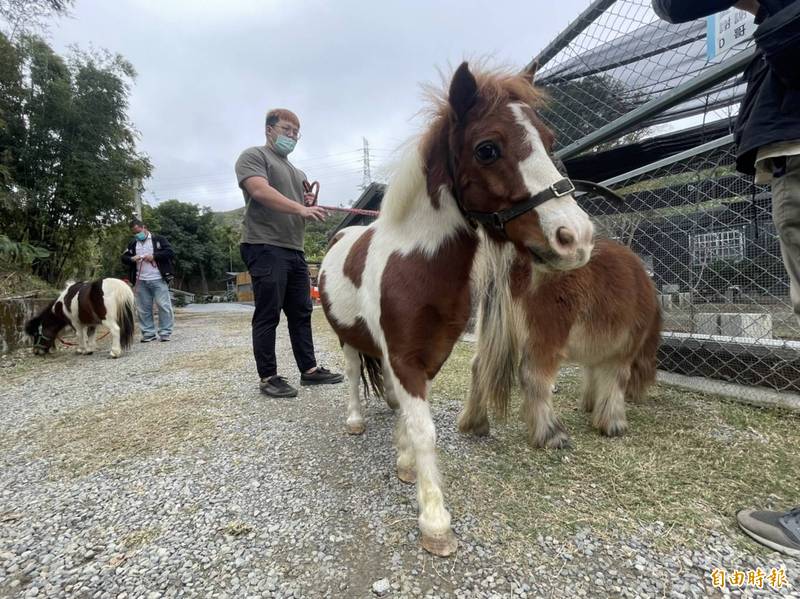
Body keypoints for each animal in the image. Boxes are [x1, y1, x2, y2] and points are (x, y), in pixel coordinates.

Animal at [322, 62, 596, 556]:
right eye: (487, 149)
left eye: (548, 140)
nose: (576, 237)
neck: (415, 263)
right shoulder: (406, 356)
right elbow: (425, 429)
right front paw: (435, 523)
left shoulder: (427, 355)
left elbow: (411, 419)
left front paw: (405, 463)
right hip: (345, 335)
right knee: (352, 373)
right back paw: (354, 420)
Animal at [460, 237, 660, 448]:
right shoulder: (621, 352)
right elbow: (615, 382)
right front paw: (613, 424)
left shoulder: (598, 349)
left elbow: (592, 375)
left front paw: (590, 405)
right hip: (545, 339)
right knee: (534, 377)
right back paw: (551, 434)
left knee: (479, 368)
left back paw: (476, 423)